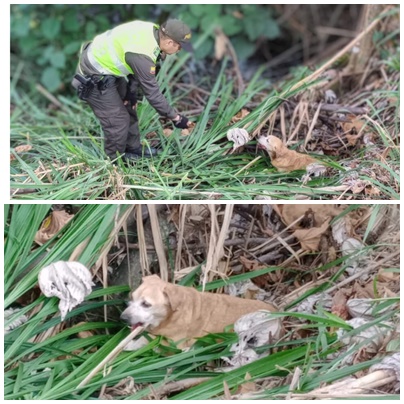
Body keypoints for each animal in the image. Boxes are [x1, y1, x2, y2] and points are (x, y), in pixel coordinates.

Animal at [120, 274, 278, 348]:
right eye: (132, 297)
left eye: (146, 304)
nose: (123, 318)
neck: (173, 314)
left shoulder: (174, 345)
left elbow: (146, 341)